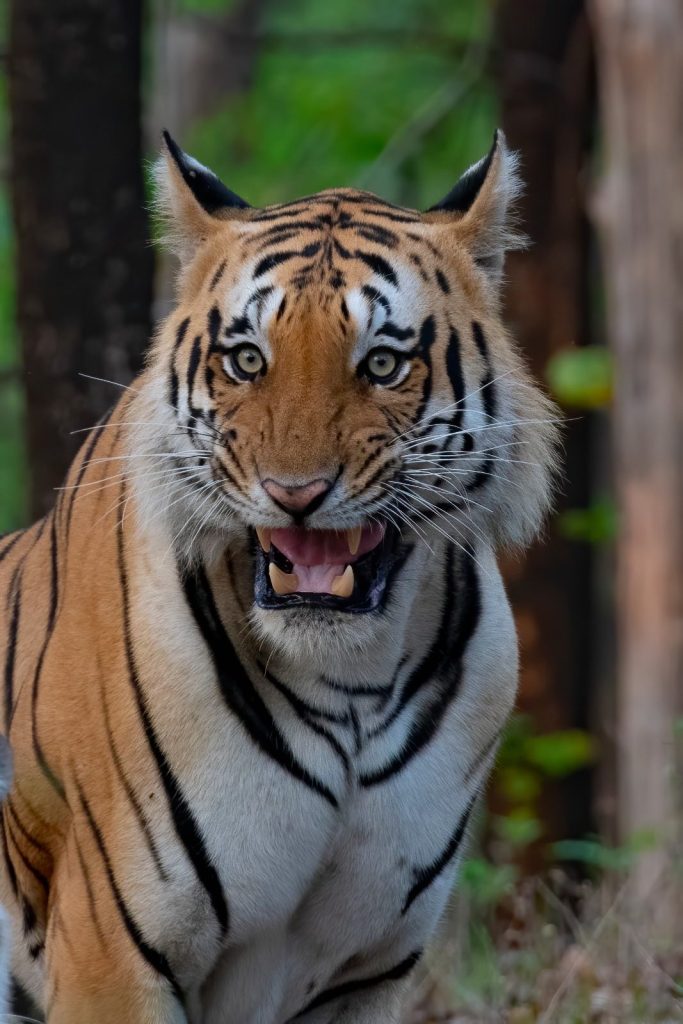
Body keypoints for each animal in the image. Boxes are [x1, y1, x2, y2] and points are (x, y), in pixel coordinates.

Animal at [0, 128, 558, 1023]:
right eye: (246, 359)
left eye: (382, 364)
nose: (295, 494)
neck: (353, 679)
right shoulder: (114, 953)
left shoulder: (365, 973)